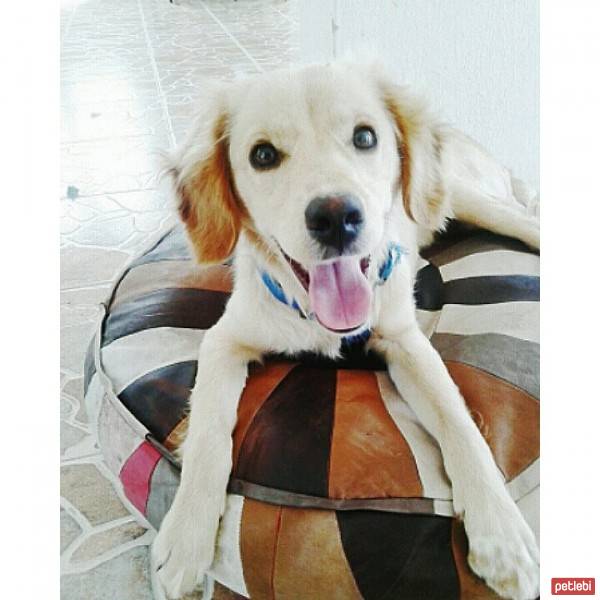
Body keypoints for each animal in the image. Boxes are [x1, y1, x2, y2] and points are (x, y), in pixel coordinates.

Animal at [152, 62, 540, 600]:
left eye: (365, 136)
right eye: (263, 155)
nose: (337, 217)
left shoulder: (406, 341)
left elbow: (459, 420)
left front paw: (501, 534)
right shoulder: (225, 339)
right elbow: (209, 429)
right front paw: (186, 536)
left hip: (466, 197)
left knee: (528, 221)